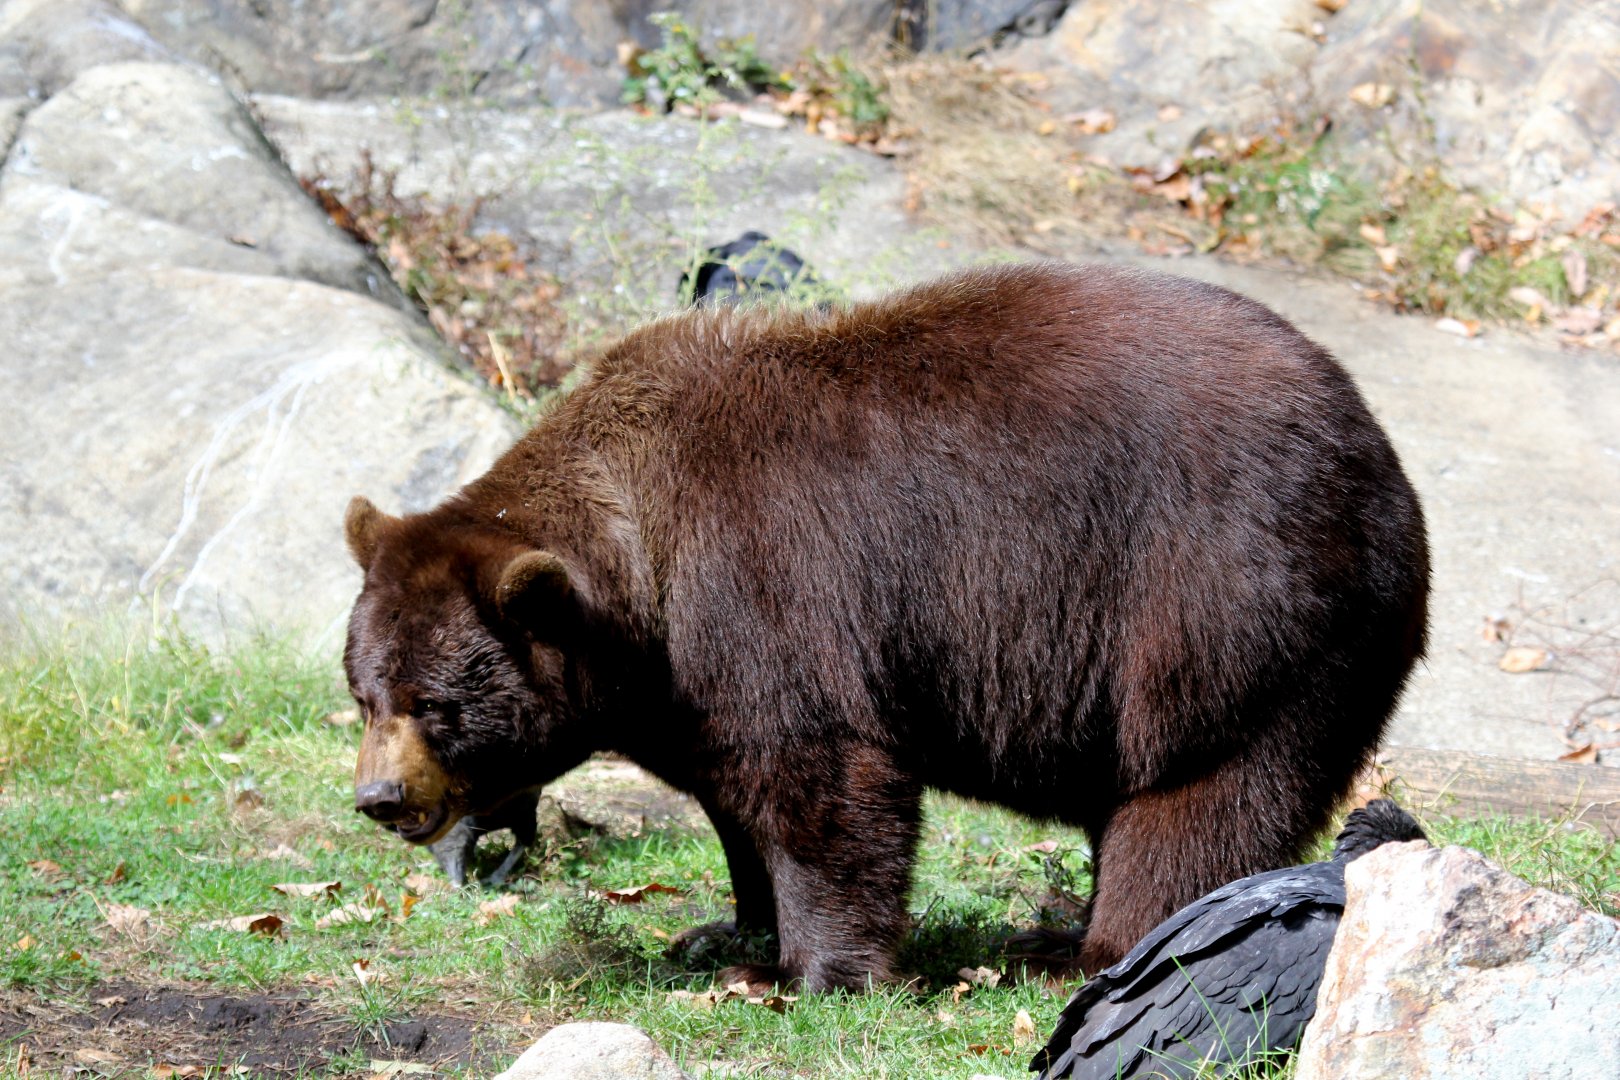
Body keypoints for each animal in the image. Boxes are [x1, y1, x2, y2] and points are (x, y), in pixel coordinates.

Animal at [342, 261, 1429, 992]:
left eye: (436, 704)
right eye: (362, 693)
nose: (380, 799)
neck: (640, 563)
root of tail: (1380, 453)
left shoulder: (764, 587)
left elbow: (824, 781)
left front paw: (814, 972)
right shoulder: (684, 683)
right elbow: (733, 796)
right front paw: (730, 930)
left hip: (1218, 603)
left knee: (1198, 789)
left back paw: (1099, 948)